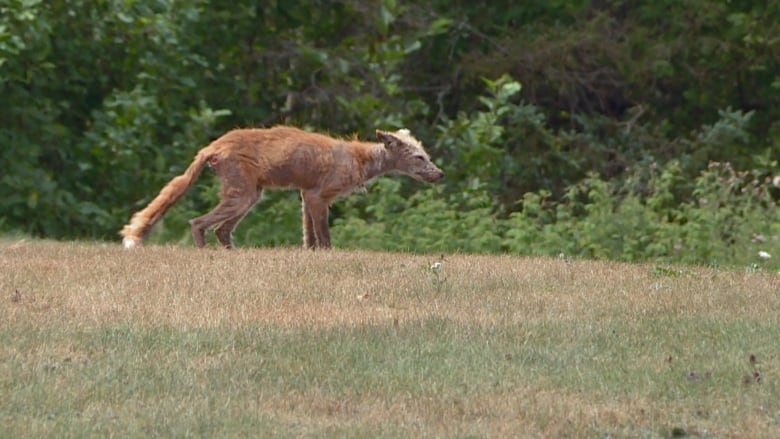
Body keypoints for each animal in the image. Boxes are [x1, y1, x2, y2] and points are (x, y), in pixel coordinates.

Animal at [118, 127, 442, 251]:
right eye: (419, 158)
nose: (440, 174)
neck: (358, 159)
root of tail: (214, 144)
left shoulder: (305, 196)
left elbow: (309, 239)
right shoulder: (317, 196)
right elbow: (324, 238)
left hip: (251, 197)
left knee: (221, 230)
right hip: (243, 197)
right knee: (198, 223)